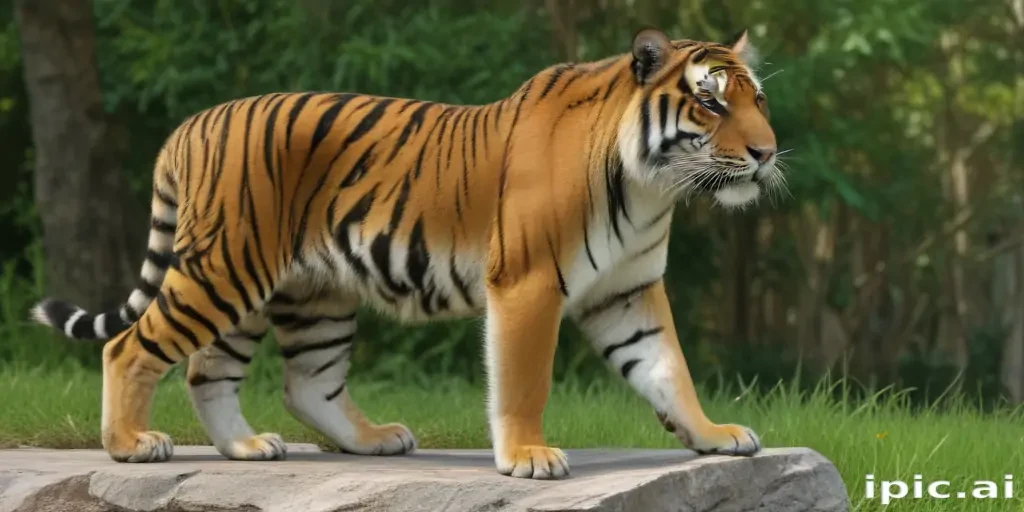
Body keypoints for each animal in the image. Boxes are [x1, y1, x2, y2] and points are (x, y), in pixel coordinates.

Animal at [30, 27, 780, 479]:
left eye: (757, 100)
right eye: (711, 104)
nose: (767, 152)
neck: (652, 188)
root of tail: (191, 123)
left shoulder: (628, 291)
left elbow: (668, 369)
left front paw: (713, 434)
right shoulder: (529, 283)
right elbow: (523, 379)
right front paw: (528, 456)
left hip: (299, 293)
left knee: (267, 378)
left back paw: (278, 445)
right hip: (223, 271)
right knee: (129, 347)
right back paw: (131, 445)